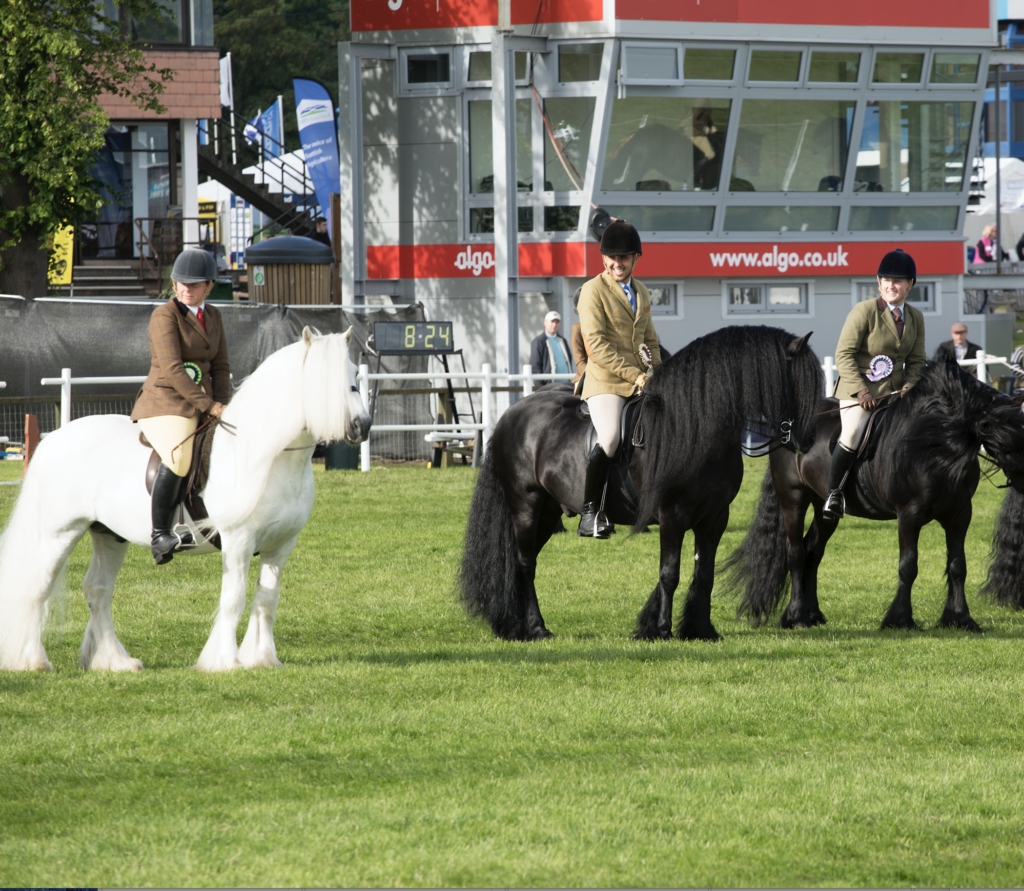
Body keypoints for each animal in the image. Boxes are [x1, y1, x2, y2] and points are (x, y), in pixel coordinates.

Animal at [0, 331, 372, 671]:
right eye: (325, 381)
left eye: (356, 375)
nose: (362, 426)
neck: (266, 455)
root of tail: (54, 439)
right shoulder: (238, 541)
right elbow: (233, 600)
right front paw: (225, 662)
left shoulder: (280, 544)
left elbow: (267, 600)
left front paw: (264, 660)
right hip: (60, 533)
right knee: (38, 588)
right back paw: (32, 661)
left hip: (108, 534)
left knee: (97, 590)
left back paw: (115, 662)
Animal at [460, 325, 819, 643]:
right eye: (798, 382)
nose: (809, 441)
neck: (695, 429)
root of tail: (511, 414)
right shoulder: (673, 514)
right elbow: (669, 572)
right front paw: (660, 630)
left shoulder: (715, 518)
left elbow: (704, 573)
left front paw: (700, 629)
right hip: (526, 505)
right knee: (525, 565)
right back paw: (535, 629)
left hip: (548, 512)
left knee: (523, 561)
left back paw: (511, 626)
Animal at [724, 358, 1024, 630]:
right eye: (1015, 432)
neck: (935, 442)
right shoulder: (909, 515)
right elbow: (908, 566)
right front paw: (900, 620)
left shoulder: (959, 516)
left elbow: (958, 567)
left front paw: (961, 619)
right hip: (793, 499)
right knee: (796, 553)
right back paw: (797, 617)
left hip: (824, 508)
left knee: (813, 551)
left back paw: (814, 614)